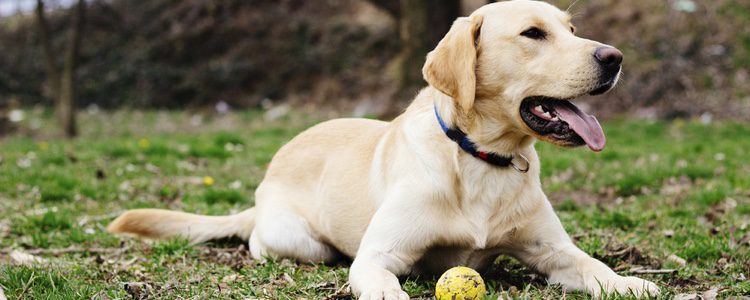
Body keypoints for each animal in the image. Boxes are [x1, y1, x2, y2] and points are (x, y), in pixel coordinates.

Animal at [108, 1, 660, 298]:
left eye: (571, 29)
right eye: (533, 33)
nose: (615, 57)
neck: (480, 159)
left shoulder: (553, 251)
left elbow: (592, 265)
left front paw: (629, 282)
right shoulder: (380, 253)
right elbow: (378, 278)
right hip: (299, 240)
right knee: (269, 244)